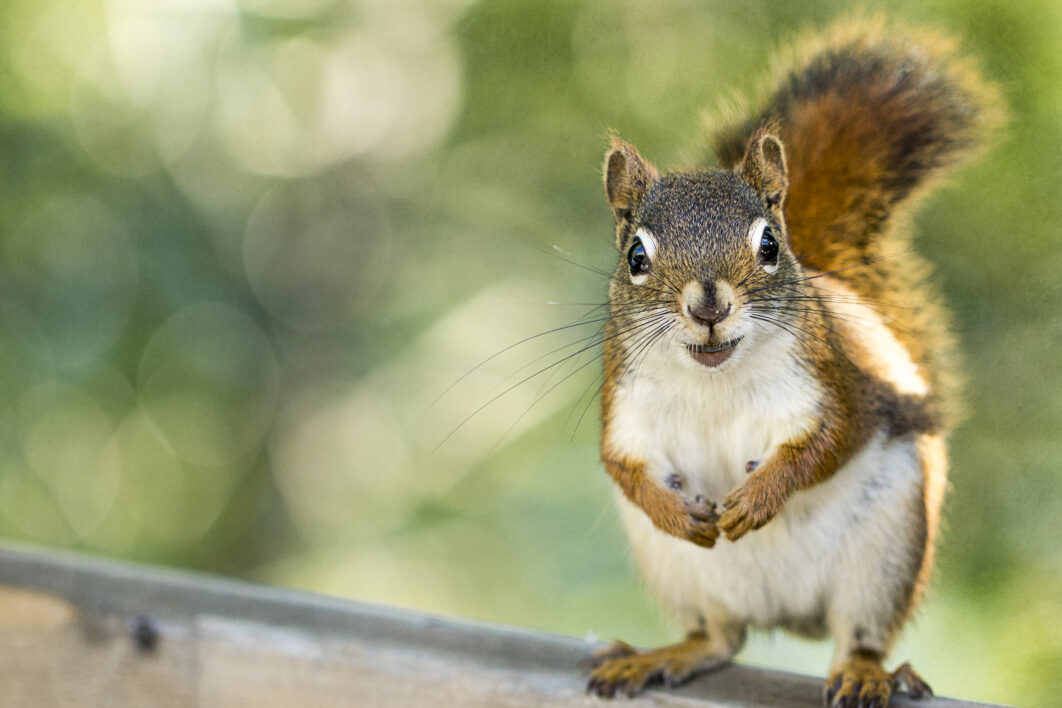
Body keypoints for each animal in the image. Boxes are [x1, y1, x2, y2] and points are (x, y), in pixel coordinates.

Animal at [586, 16, 998, 708]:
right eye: (636, 256)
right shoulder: (627, 407)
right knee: (719, 639)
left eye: (770, 245)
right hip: (679, 573)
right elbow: (622, 465)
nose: (708, 305)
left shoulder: (834, 383)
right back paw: (661, 655)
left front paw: (760, 495)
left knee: (859, 634)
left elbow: (832, 441)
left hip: (884, 554)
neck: (715, 379)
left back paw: (865, 673)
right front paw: (674, 509)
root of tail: (785, 615)